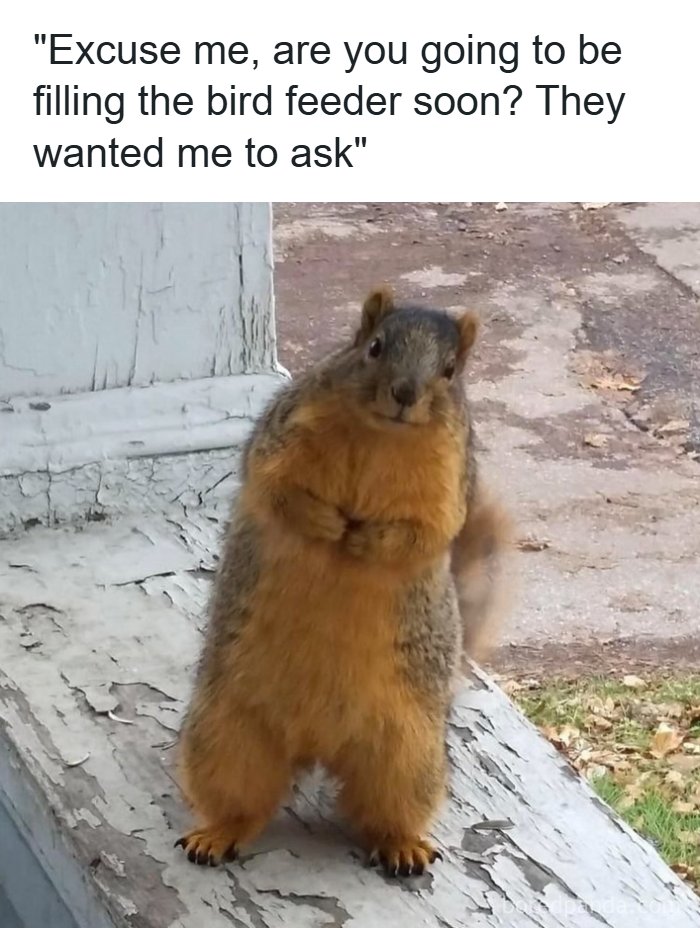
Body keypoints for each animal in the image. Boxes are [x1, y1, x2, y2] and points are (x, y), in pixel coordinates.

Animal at [175, 285, 511, 877]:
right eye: (374, 347)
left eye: (450, 370)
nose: (405, 393)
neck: (382, 435)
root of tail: (316, 745)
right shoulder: (284, 432)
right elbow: (277, 487)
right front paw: (327, 524)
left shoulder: (449, 481)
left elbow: (425, 532)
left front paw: (365, 542)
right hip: (224, 732)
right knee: (241, 802)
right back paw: (216, 834)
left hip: (407, 754)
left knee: (385, 809)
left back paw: (402, 846)